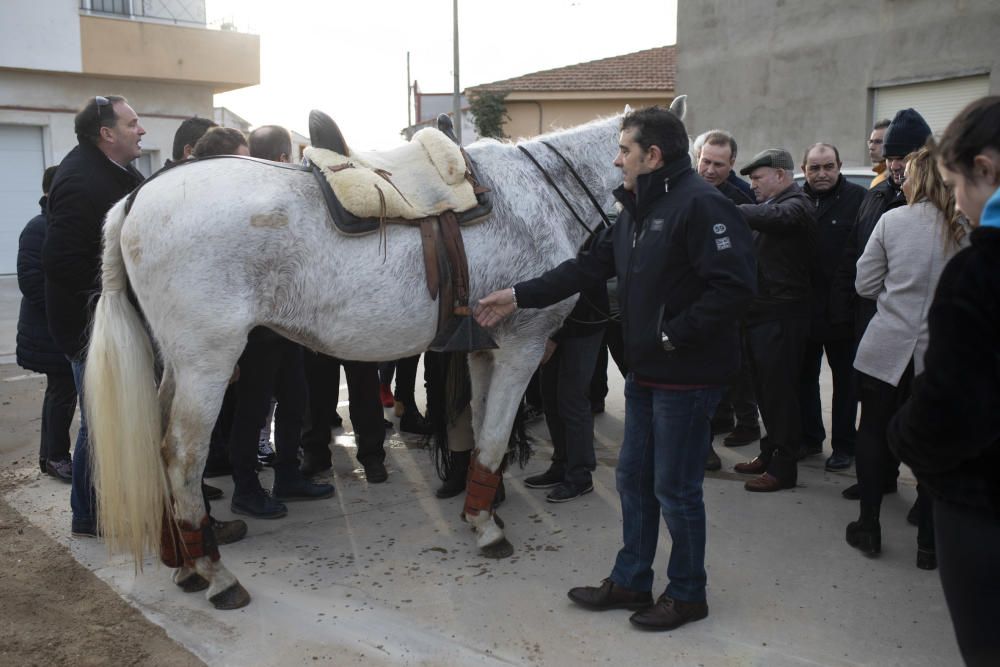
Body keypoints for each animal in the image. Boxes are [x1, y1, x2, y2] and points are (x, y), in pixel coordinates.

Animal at [86, 99, 684, 612]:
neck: (539, 195)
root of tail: (135, 201)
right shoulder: (523, 346)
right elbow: (494, 437)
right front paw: (487, 526)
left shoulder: (486, 350)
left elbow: (481, 431)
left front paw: (480, 507)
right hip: (208, 367)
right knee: (181, 458)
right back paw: (215, 573)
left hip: (177, 367)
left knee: (156, 440)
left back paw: (183, 563)